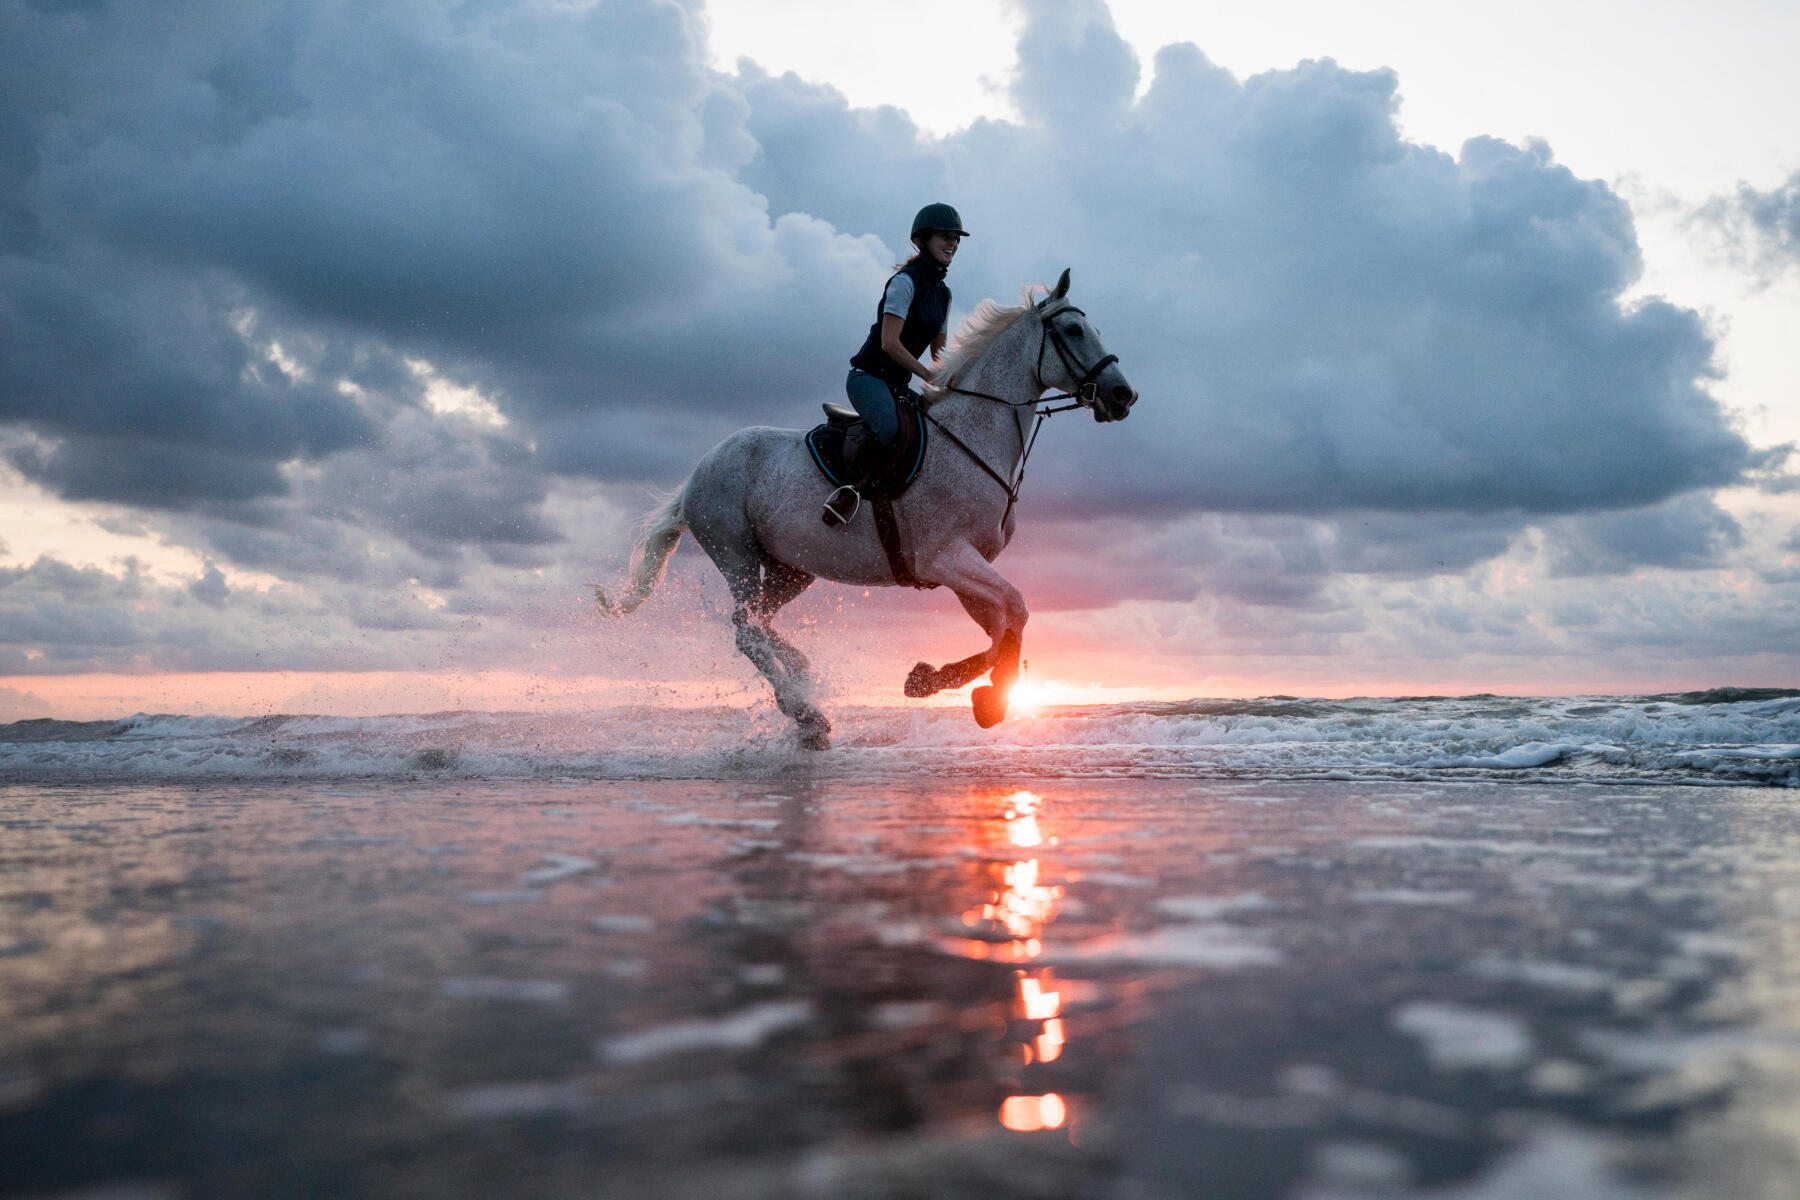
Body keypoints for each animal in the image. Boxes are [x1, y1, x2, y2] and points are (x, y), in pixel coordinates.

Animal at [601, 269, 1137, 752]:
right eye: (1073, 331)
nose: (1123, 395)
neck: (973, 434)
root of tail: (698, 471)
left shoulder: (965, 570)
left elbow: (1003, 628)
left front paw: (935, 680)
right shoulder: (945, 558)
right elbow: (1016, 610)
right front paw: (987, 699)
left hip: (792, 570)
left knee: (758, 624)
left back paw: (803, 678)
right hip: (735, 552)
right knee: (746, 631)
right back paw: (806, 714)